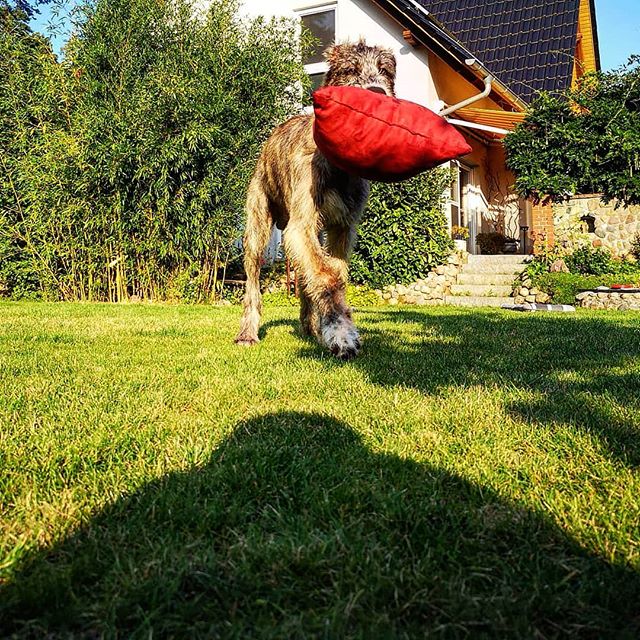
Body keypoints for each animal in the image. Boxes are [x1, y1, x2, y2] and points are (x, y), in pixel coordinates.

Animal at [235, 40, 396, 360]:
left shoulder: (342, 228)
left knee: (303, 275)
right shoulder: (302, 224)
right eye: (349, 70)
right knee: (253, 283)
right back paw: (248, 332)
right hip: (258, 227)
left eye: (385, 71)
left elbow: (336, 274)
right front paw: (342, 333)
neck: (339, 166)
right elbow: (326, 276)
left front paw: (331, 325)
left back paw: (310, 326)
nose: (377, 94)